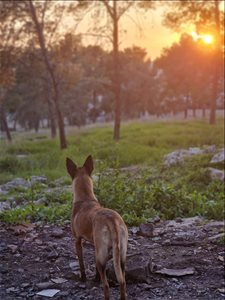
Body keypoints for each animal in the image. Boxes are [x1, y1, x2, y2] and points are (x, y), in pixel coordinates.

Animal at [66, 156, 127, 298]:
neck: (85, 198)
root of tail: (112, 220)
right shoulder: (96, 247)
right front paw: (95, 278)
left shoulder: (77, 241)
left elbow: (81, 263)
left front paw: (83, 278)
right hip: (120, 257)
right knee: (122, 281)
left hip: (103, 255)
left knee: (106, 286)